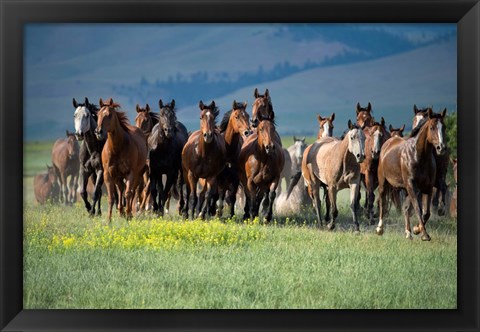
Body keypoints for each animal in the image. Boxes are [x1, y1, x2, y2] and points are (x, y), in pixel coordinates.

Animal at [376, 107, 448, 240]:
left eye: (444, 127)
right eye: (432, 127)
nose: (441, 148)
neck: (418, 155)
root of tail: (387, 143)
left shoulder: (427, 188)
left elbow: (426, 212)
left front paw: (416, 229)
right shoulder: (412, 186)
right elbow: (418, 209)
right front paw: (424, 234)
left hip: (405, 189)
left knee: (405, 209)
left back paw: (408, 232)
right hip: (384, 183)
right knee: (382, 202)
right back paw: (379, 229)